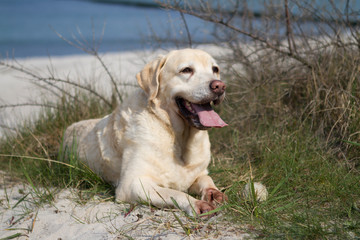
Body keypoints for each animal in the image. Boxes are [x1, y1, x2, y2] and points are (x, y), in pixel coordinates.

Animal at [63, 48, 228, 216]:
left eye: (215, 69)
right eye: (186, 70)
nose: (220, 86)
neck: (176, 135)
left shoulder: (199, 174)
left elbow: (207, 180)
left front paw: (214, 193)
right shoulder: (132, 184)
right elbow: (174, 193)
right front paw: (196, 203)